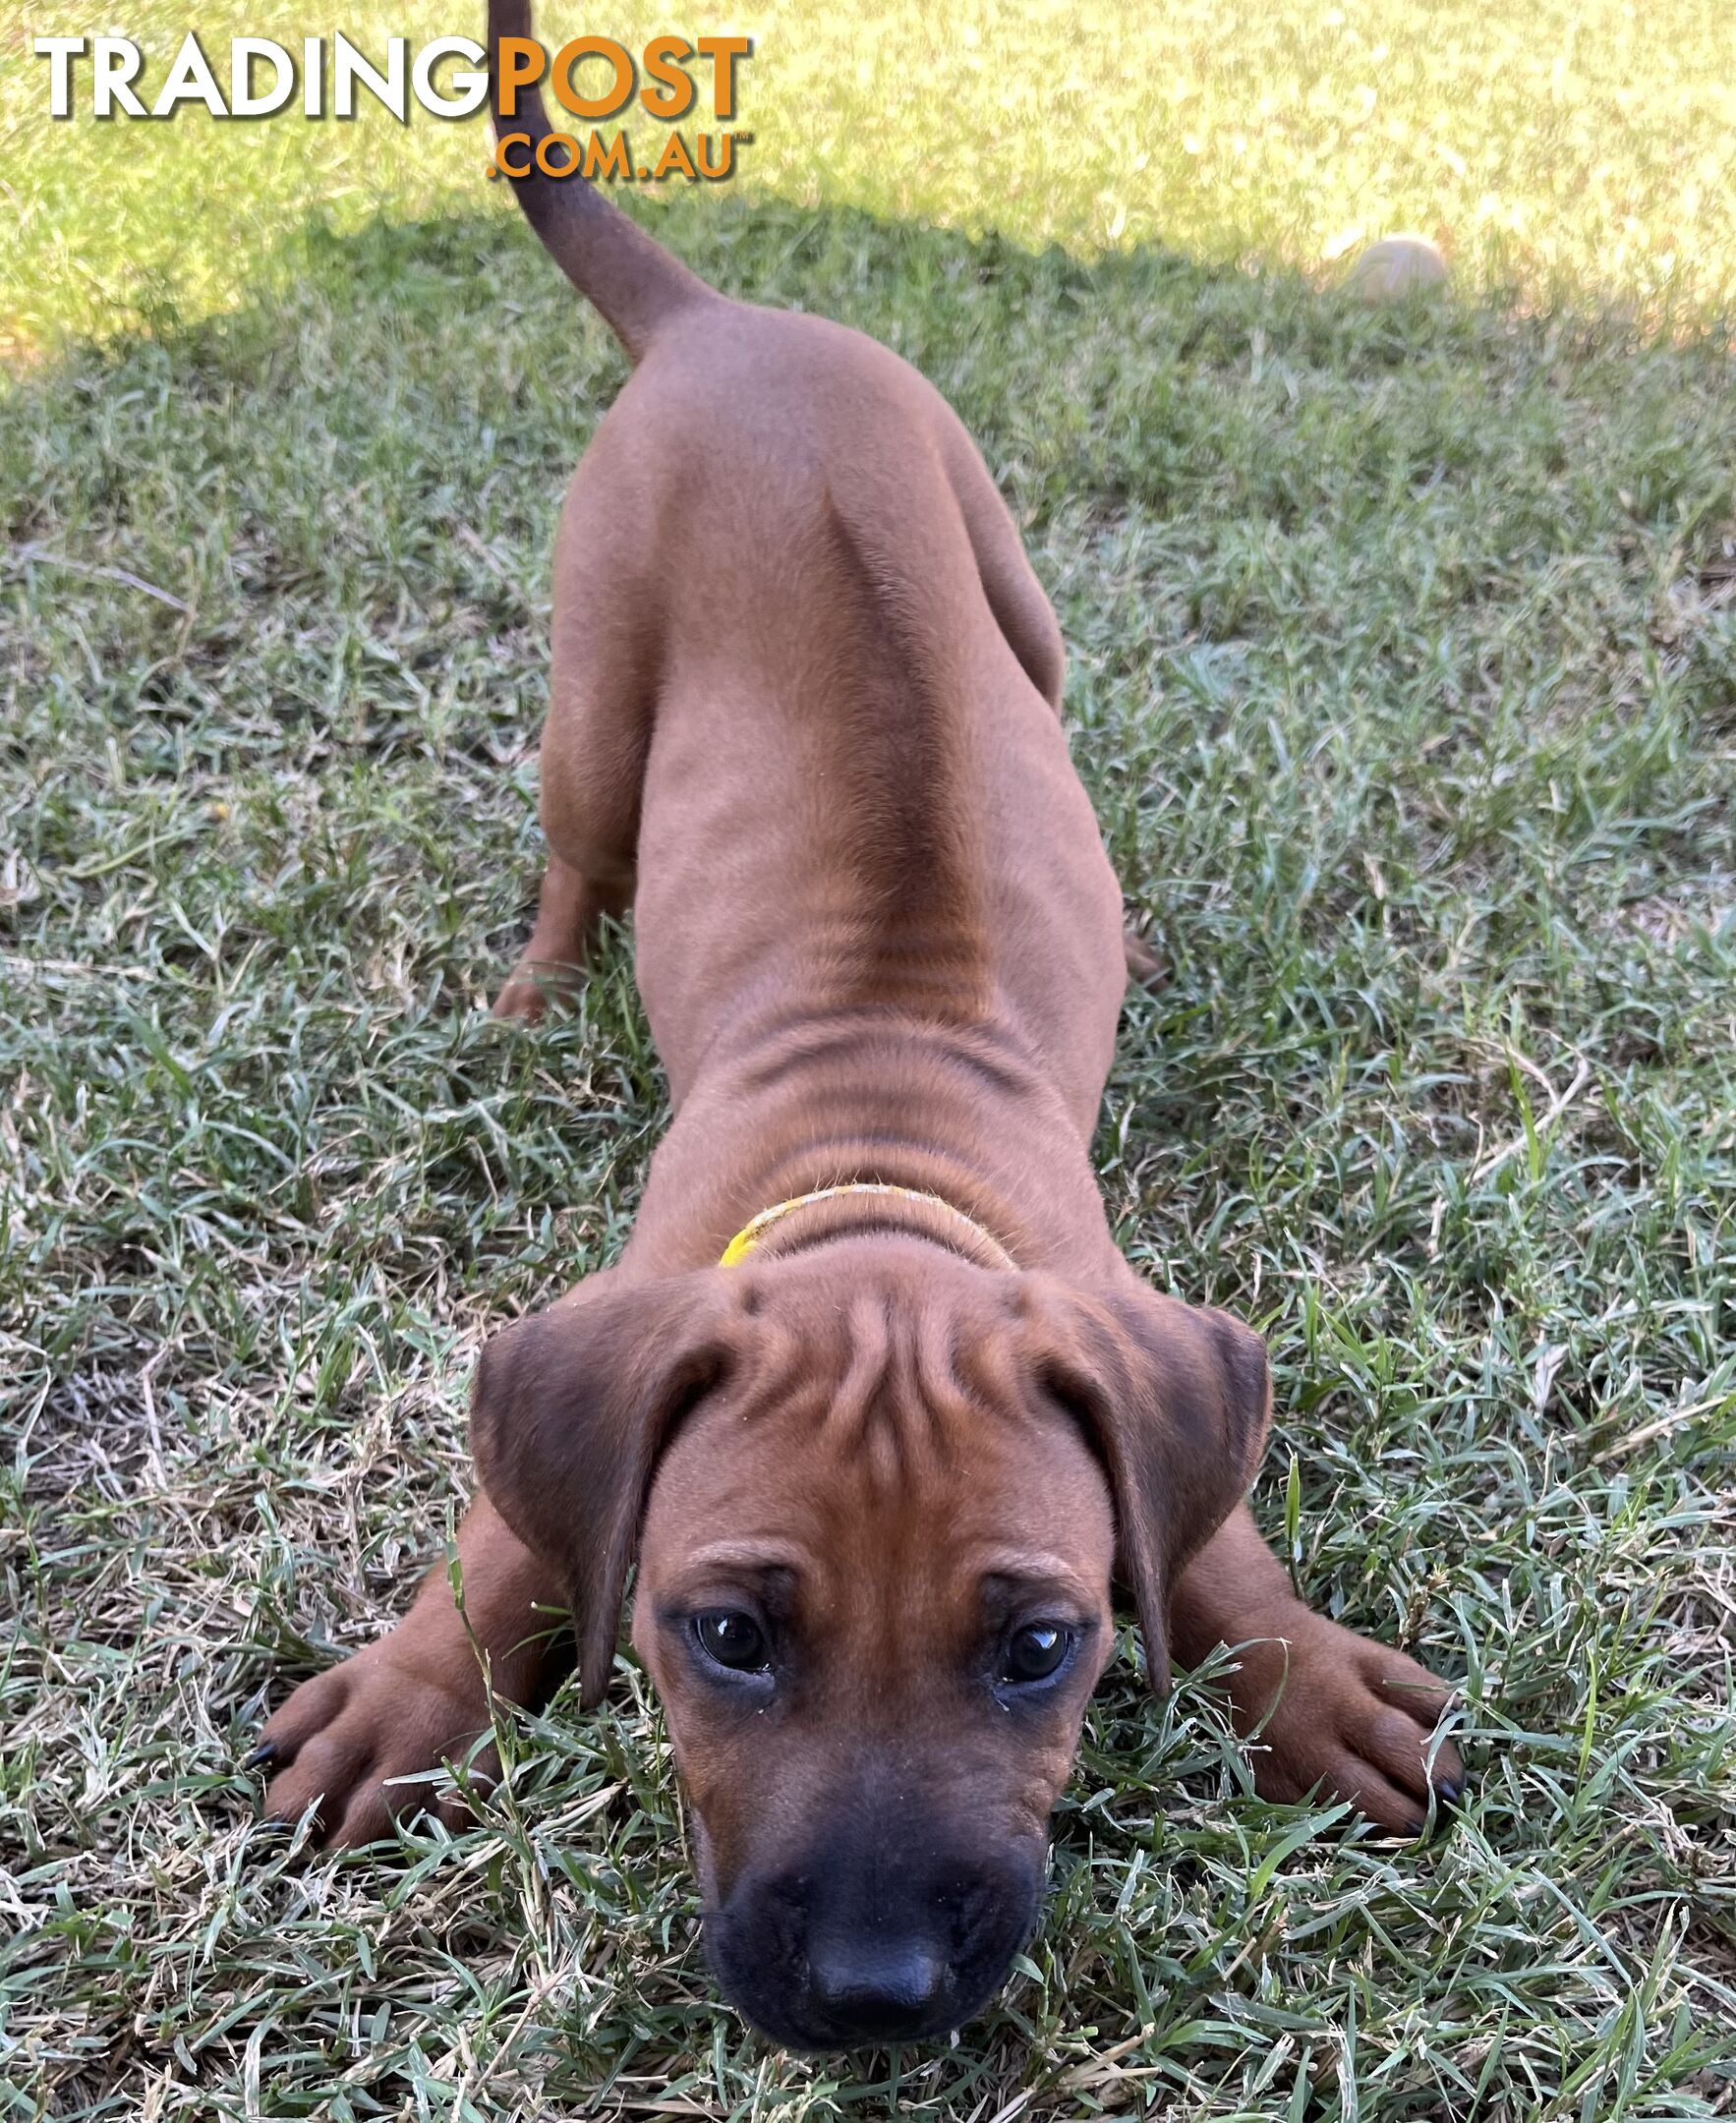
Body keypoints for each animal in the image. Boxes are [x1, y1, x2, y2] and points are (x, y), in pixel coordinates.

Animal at [247, 4, 1460, 2054]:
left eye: (1039, 1645)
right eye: (728, 1637)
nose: (874, 1994)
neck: (877, 1179)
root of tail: (724, 321)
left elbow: (1205, 1534)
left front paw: (1305, 1672)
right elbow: (505, 1543)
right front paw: (407, 1694)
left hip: (1007, 580)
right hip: (595, 695)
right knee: (577, 852)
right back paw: (534, 990)